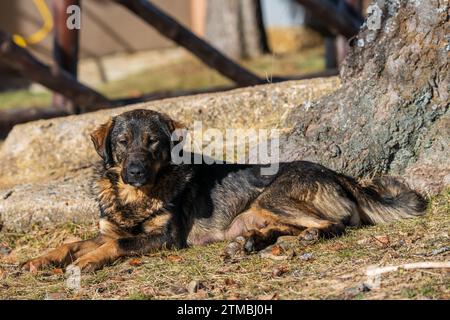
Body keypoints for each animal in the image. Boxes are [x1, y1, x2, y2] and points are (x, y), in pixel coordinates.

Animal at [22, 109, 428, 272]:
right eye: (122, 143)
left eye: (153, 142)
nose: (135, 171)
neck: (133, 198)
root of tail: (338, 174)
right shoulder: (108, 229)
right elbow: (72, 243)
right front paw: (39, 260)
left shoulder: (164, 239)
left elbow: (116, 245)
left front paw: (86, 262)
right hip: (259, 211)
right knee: (279, 229)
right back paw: (247, 243)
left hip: (273, 197)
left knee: (336, 223)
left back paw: (308, 237)